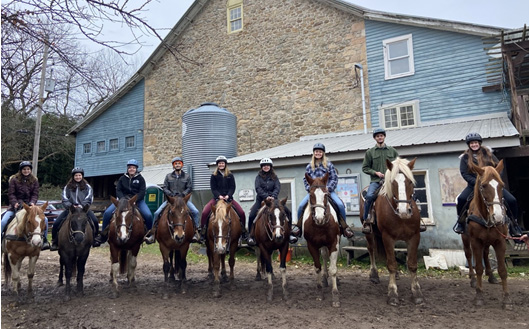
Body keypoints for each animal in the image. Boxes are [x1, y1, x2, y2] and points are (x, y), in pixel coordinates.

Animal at [302, 172, 342, 308]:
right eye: (311, 195)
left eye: (325, 194)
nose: (320, 217)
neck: (320, 226)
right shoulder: (311, 246)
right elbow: (317, 268)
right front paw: (320, 292)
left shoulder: (334, 244)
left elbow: (333, 269)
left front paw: (335, 296)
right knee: (324, 256)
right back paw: (324, 279)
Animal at [356, 158, 422, 306]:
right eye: (393, 183)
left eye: (410, 181)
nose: (404, 211)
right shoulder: (387, 237)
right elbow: (391, 264)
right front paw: (392, 294)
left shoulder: (414, 236)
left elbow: (412, 264)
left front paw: (416, 293)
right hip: (369, 233)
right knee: (371, 249)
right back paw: (374, 274)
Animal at [466, 158, 512, 308]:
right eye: (484, 185)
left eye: (502, 185)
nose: (498, 216)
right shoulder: (475, 241)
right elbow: (479, 267)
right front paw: (479, 296)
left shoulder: (500, 241)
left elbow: (502, 270)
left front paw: (506, 299)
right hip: (465, 239)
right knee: (469, 255)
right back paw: (472, 279)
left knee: (486, 254)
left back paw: (491, 276)